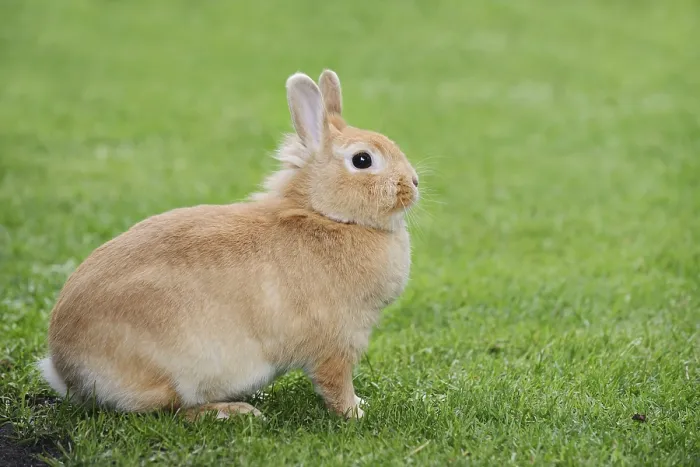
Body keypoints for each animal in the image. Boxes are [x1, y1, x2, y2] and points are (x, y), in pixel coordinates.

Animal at [38, 69, 419, 420]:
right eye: (362, 160)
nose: (414, 183)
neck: (327, 216)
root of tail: (64, 368)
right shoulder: (337, 342)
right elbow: (336, 385)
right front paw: (357, 413)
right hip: (176, 371)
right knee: (173, 410)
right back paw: (236, 411)